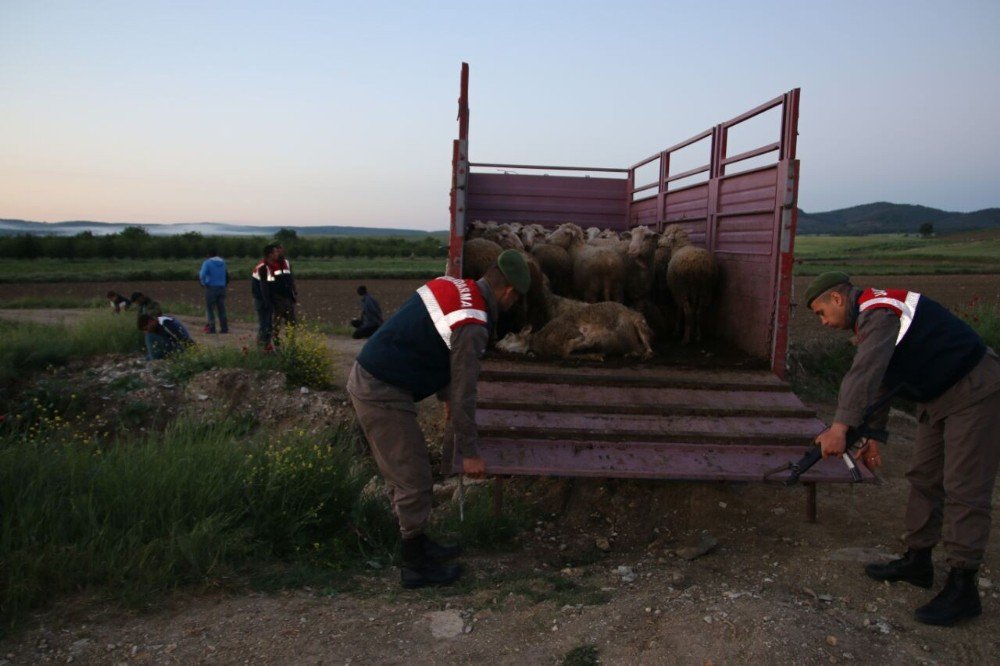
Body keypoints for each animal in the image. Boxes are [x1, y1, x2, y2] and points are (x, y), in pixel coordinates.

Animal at [494, 300, 656, 360]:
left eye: (508, 334)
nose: (496, 346)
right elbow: (568, 352)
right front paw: (595, 354)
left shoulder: (568, 332)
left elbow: (569, 348)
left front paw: (595, 353)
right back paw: (631, 353)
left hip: (639, 324)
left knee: (648, 347)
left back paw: (644, 354)